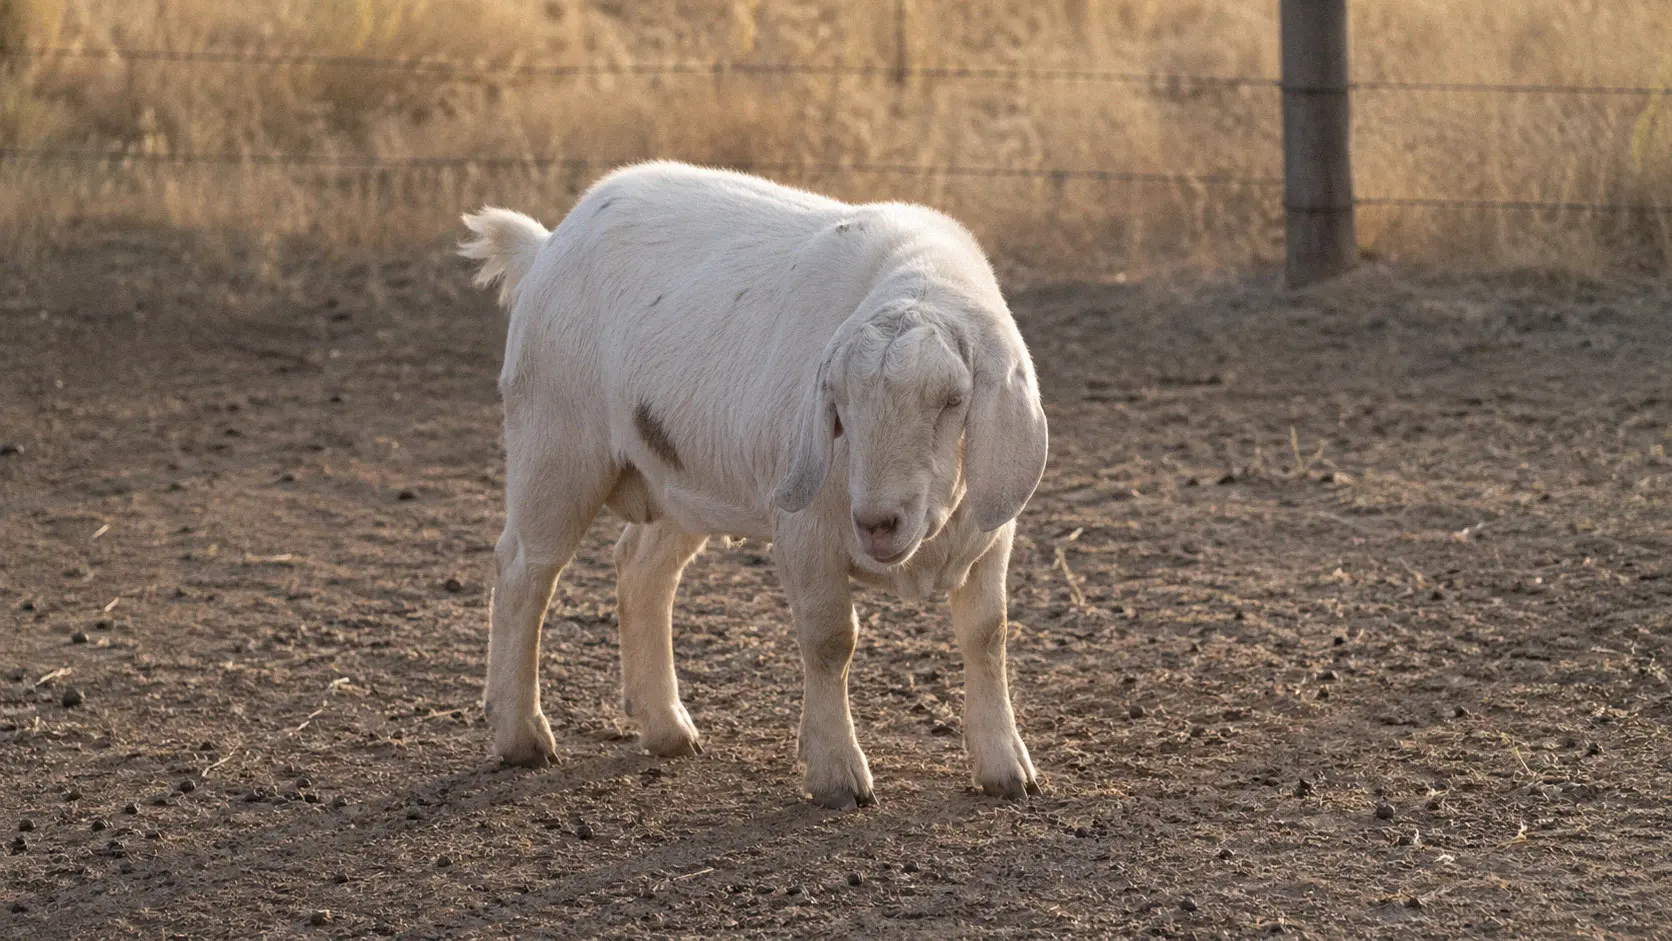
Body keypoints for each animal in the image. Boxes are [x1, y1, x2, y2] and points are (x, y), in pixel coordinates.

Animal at [459, 161, 1049, 808]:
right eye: (839, 405)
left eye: (953, 400)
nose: (876, 523)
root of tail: (545, 245)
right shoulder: (804, 529)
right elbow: (831, 640)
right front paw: (838, 775)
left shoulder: (991, 533)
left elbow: (987, 634)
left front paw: (1006, 769)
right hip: (555, 445)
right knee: (524, 570)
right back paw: (523, 736)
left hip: (679, 479)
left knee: (641, 569)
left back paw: (668, 729)